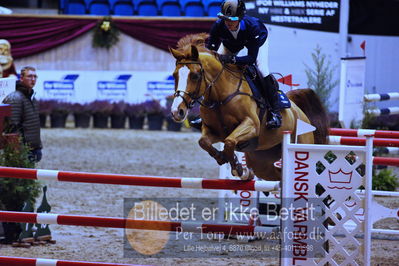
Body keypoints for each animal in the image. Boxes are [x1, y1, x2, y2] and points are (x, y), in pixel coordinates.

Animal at [170, 33, 330, 182]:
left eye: (195, 76)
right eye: (174, 75)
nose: (177, 112)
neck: (220, 97)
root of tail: (299, 112)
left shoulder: (251, 124)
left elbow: (229, 142)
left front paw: (237, 167)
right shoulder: (213, 130)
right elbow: (204, 142)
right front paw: (225, 159)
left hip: (300, 143)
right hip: (262, 162)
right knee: (276, 174)